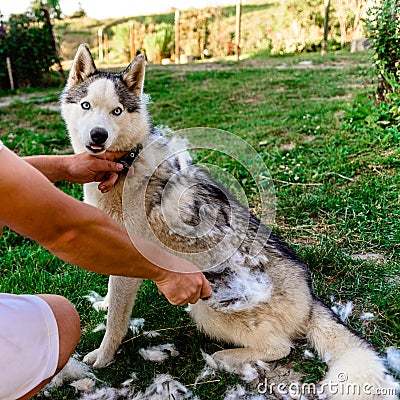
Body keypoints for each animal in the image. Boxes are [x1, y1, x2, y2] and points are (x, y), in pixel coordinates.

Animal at [61, 45, 398, 398]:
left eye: (116, 111)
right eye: (86, 106)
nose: (98, 135)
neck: (125, 165)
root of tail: (310, 296)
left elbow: (117, 320)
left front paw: (104, 355)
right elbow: (112, 298)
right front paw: (104, 304)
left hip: (209, 306)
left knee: (280, 347)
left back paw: (225, 358)